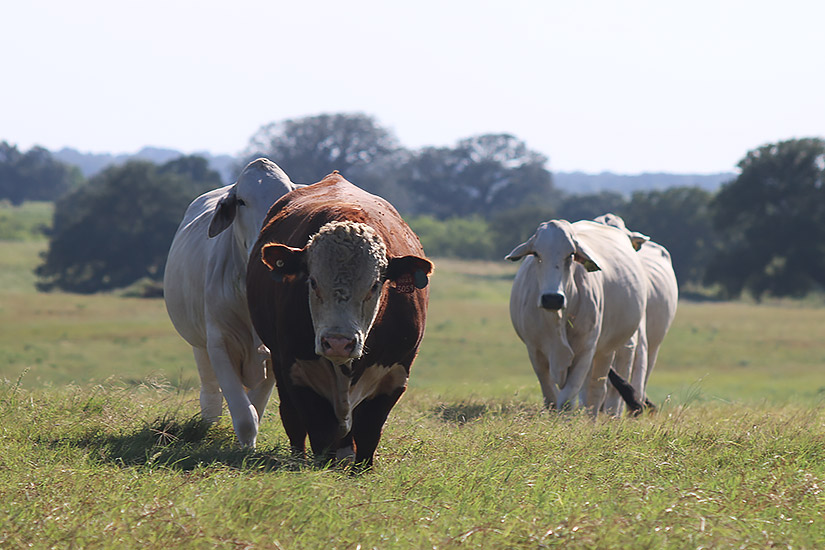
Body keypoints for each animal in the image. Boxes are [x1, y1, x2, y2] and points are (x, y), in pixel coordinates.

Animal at [163, 158, 296, 448]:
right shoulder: (219, 343)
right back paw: (208, 421)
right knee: (210, 390)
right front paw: (245, 446)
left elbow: (255, 406)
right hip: (199, 344)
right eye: (242, 202)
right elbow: (244, 414)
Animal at [506, 222, 648, 412]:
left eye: (571, 254)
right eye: (536, 253)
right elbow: (550, 396)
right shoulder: (535, 350)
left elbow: (567, 399)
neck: (556, 320)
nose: (552, 298)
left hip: (606, 350)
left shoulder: (585, 350)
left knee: (597, 390)